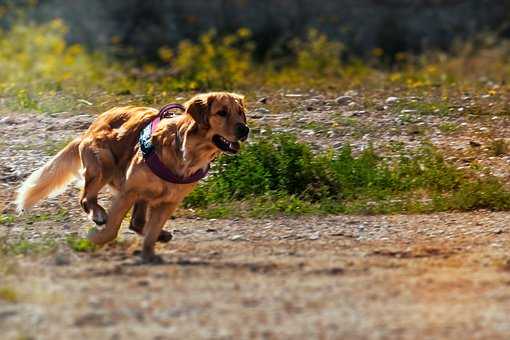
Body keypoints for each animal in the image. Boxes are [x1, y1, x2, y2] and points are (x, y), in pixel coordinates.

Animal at [14, 91, 249, 262]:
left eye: (240, 112)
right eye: (222, 112)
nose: (244, 129)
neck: (187, 152)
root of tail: (91, 127)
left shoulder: (169, 201)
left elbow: (151, 232)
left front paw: (149, 254)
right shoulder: (129, 190)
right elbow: (111, 229)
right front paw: (95, 238)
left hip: (142, 193)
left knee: (137, 222)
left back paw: (161, 234)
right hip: (105, 163)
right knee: (86, 198)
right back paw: (98, 214)